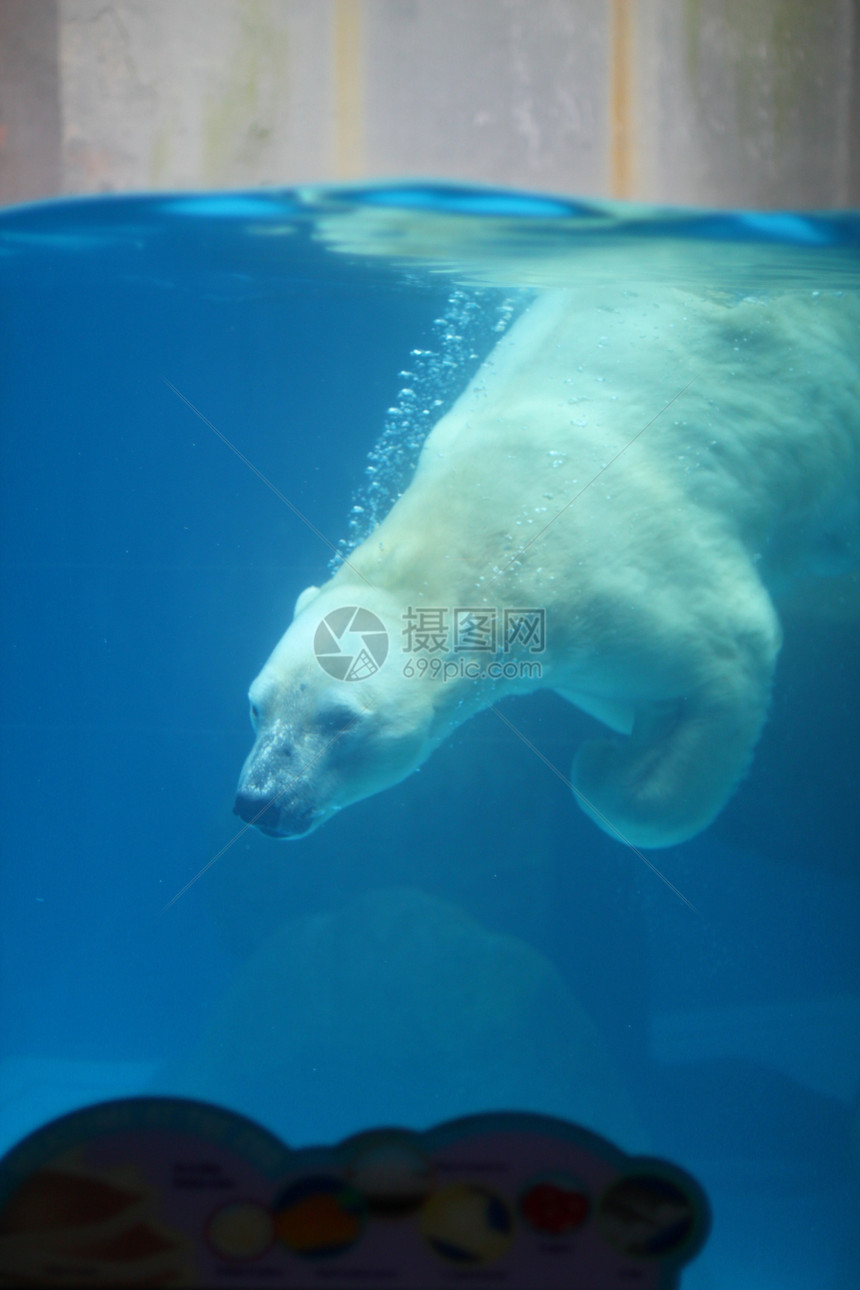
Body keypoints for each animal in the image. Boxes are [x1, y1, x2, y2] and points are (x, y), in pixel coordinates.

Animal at [235, 287, 860, 846]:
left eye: (340, 720)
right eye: (257, 707)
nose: (259, 801)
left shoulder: (635, 574)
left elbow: (731, 656)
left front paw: (599, 765)